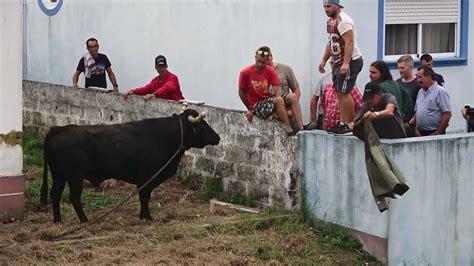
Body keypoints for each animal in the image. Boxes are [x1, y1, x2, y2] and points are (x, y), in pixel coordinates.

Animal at [46, 115, 191, 240]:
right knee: (74, 197)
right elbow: (144, 198)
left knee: (55, 194)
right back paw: (84, 220)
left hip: (59, 175)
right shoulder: (145, 179)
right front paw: (147, 217)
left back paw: (58, 220)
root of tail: (60, 128)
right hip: (74, 177)